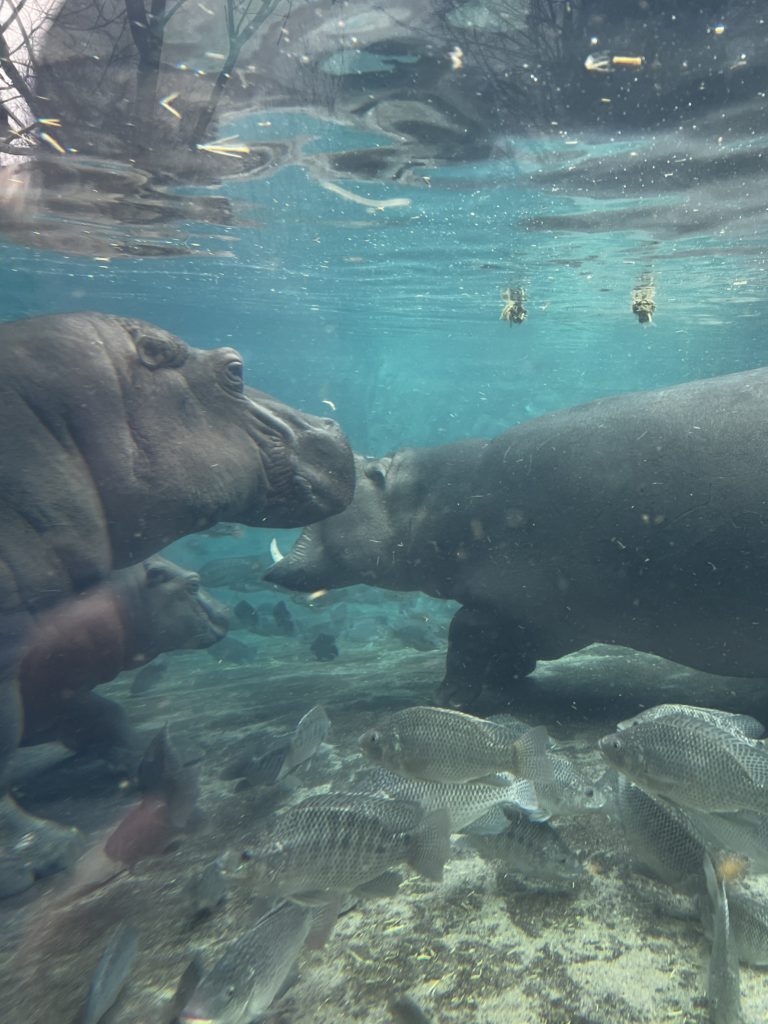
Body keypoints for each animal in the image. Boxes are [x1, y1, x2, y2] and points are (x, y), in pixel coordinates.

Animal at [18, 557, 228, 770]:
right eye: (194, 584)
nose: (226, 610)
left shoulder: (54, 697)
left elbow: (103, 712)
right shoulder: (49, 693)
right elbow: (108, 712)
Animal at [268, 368, 768, 712]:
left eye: (365, 469)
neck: (429, 498)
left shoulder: (513, 596)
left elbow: (464, 632)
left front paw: (447, 698)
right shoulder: (557, 618)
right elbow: (517, 646)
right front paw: (504, 678)